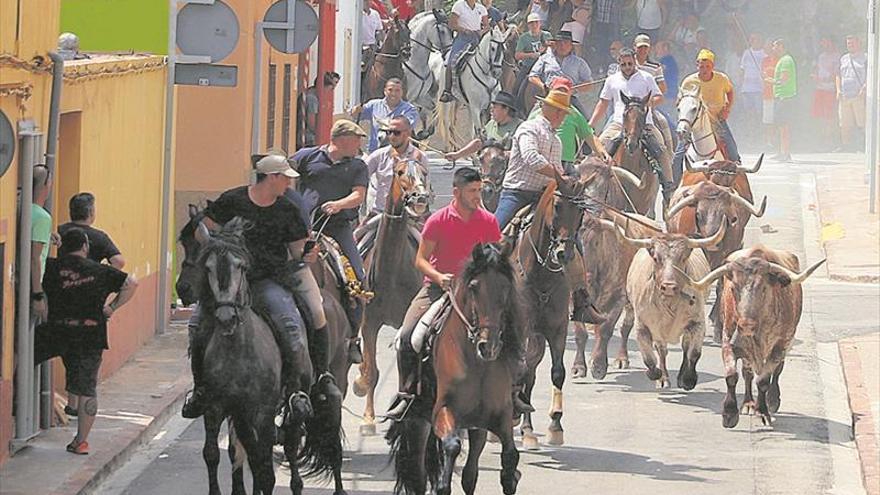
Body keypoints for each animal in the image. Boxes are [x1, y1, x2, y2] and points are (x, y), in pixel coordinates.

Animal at [352, 157, 432, 436]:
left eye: (423, 172)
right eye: (399, 172)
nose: (420, 197)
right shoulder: (369, 323)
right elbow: (372, 372)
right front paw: (367, 419)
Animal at [384, 244, 524, 495]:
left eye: (505, 287)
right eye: (474, 287)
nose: (488, 346)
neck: (478, 365)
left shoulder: (499, 415)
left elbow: (509, 456)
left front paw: (511, 477)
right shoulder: (443, 411)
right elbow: (451, 447)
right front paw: (442, 483)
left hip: (476, 426)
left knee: (470, 474)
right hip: (418, 421)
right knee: (419, 474)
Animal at [508, 172, 592, 452]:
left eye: (581, 210)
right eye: (557, 206)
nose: (563, 253)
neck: (541, 275)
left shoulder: (556, 329)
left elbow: (557, 372)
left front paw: (555, 425)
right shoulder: (521, 330)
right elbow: (520, 371)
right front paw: (518, 419)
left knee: (531, 373)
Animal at [624, 222, 724, 392]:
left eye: (683, 258)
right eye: (656, 258)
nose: (669, 286)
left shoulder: (697, 324)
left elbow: (693, 353)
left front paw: (688, 379)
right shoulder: (642, 326)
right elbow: (649, 358)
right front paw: (656, 374)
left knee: (685, 347)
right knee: (662, 350)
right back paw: (664, 378)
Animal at [688, 246, 824, 428]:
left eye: (764, 288)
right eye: (733, 288)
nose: (746, 325)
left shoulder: (780, 345)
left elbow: (764, 380)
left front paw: (763, 411)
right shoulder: (728, 339)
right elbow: (732, 375)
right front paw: (729, 413)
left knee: (777, 371)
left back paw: (773, 400)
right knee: (747, 373)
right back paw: (748, 403)